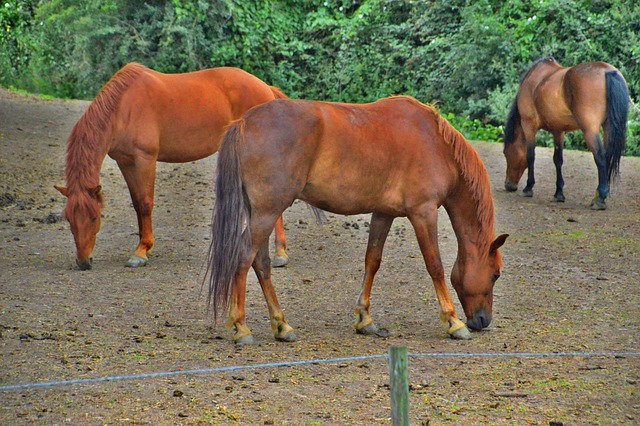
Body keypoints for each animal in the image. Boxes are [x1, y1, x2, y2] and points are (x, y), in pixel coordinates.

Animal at [55, 62, 290, 270]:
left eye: (94, 217)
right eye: (69, 219)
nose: (83, 262)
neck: (122, 108)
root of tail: (265, 87)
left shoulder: (145, 159)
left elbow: (145, 203)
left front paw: (141, 252)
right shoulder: (125, 161)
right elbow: (136, 203)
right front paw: (144, 246)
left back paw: (280, 253)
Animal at [208, 96, 508, 342]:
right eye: (495, 274)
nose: (483, 320)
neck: (436, 143)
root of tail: (244, 122)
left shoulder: (384, 213)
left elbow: (372, 261)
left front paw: (365, 319)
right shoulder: (423, 213)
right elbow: (435, 266)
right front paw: (453, 321)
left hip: (262, 214)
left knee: (261, 263)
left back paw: (282, 326)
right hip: (267, 213)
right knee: (245, 258)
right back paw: (241, 326)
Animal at [504, 56, 632, 210]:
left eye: (506, 153)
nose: (508, 185)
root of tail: (608, 72)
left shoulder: (529, 126)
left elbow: (530, 157)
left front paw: (528, 188)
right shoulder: (558, 130)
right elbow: (558, 160)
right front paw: (559, 193)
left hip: (590, 130)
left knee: (600, 156)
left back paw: (600, 198)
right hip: (607, 127)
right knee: (607, 156)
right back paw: (598, 196)